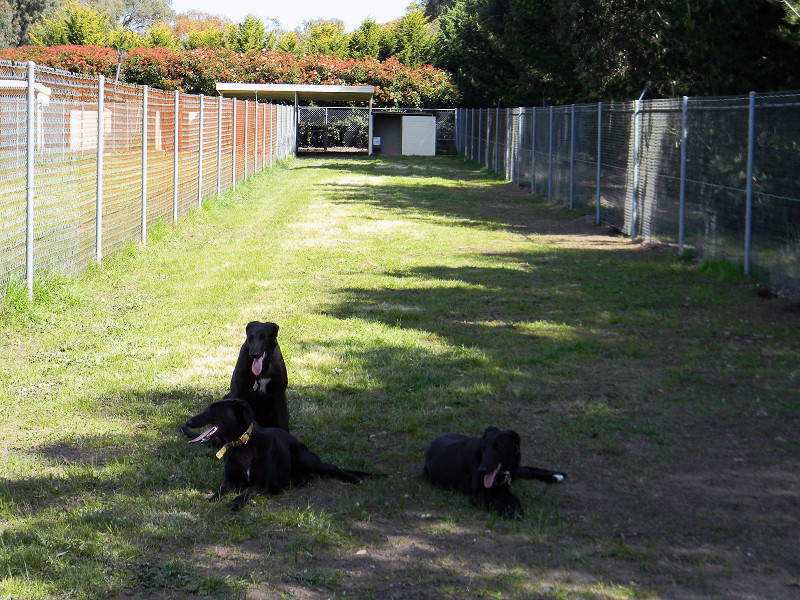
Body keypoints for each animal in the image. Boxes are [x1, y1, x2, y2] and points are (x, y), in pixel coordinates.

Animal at [422, 428, 564, 516]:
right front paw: (513, 513)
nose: (482, 469)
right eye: (484, 448)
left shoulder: (501, 489)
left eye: (498, 447)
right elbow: (498, 503)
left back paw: (555, 476)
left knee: (525, 469)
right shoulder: (478, 496)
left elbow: (515, 500)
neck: (504, 472)